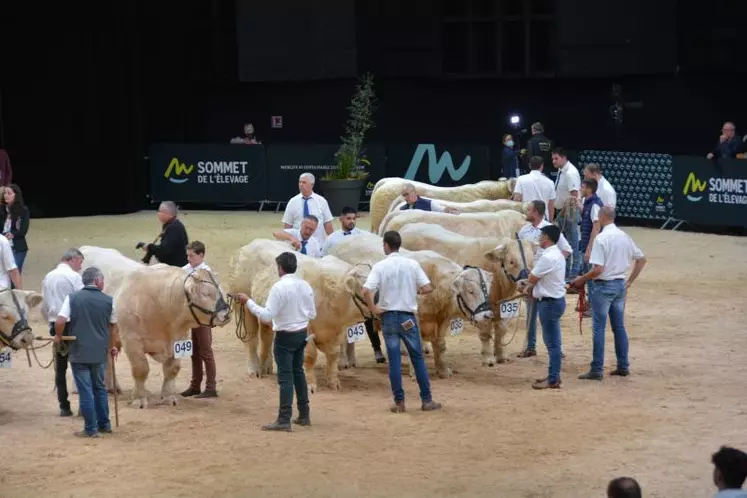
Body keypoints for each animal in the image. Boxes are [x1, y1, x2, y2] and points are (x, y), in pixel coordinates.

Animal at [113, 264, 231, 408]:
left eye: (221, 290)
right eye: (206, 294)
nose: (226, 314)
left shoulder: (178, 340)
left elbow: (172, 369)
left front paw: (168, 397)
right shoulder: (131, 340)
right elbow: (141, 369)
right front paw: (138, 399)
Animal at [225, 239, 372, 392]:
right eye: (364, 288)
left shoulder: (337, 333)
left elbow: (333, 355)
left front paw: (333, 382)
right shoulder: (305, 329)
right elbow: (309, 356)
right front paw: (310, 384)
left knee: (266, 337)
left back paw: (266, 367)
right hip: (243, 307)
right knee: (251, 340)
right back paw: (254, 369)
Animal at [328, 233, 496, 378]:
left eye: (488, 289)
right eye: (471, 291)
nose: (487, 315)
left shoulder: (441, 320)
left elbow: (440, 345)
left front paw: (443, 370)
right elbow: (416, 346)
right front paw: (415, 372)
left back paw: (351, 360)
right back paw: (342, 362)